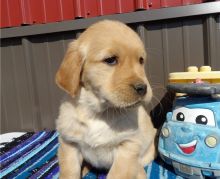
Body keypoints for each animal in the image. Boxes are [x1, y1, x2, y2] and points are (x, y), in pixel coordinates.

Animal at [55, 19, 157, 179]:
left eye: (141, 61)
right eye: (110, 60)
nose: (143, 88)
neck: (99, 112)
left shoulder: (128, 146)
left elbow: (117, 174)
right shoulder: (68, 142)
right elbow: (69, 172)